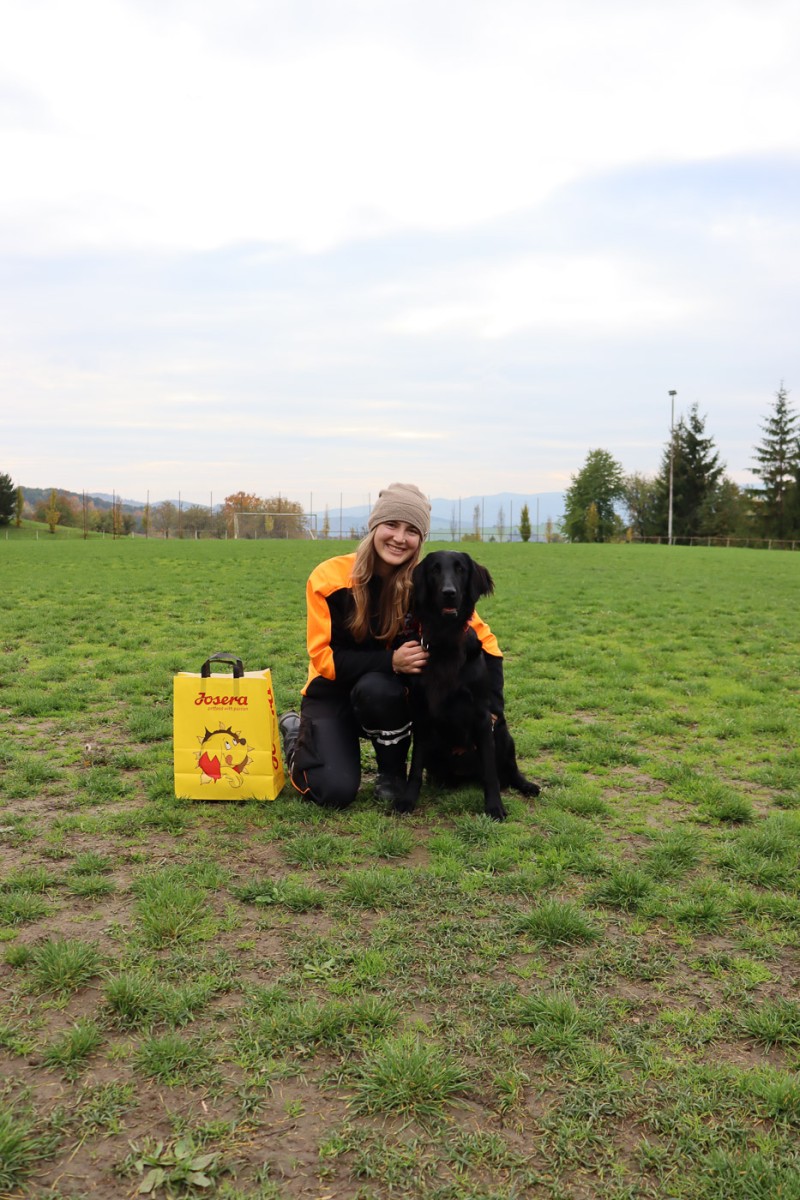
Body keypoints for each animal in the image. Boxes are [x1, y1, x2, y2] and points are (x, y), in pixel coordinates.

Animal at [395, 550, 540, 821]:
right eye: (435, 569)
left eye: (460, 569)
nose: (449, 592)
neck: (446, 641)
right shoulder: (422, 715)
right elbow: (415, 767)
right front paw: (407, 800)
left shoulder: (482, 716)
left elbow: (491, 774)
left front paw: (494, 807)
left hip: (502, 732)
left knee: (508, 770)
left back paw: (527, 785)